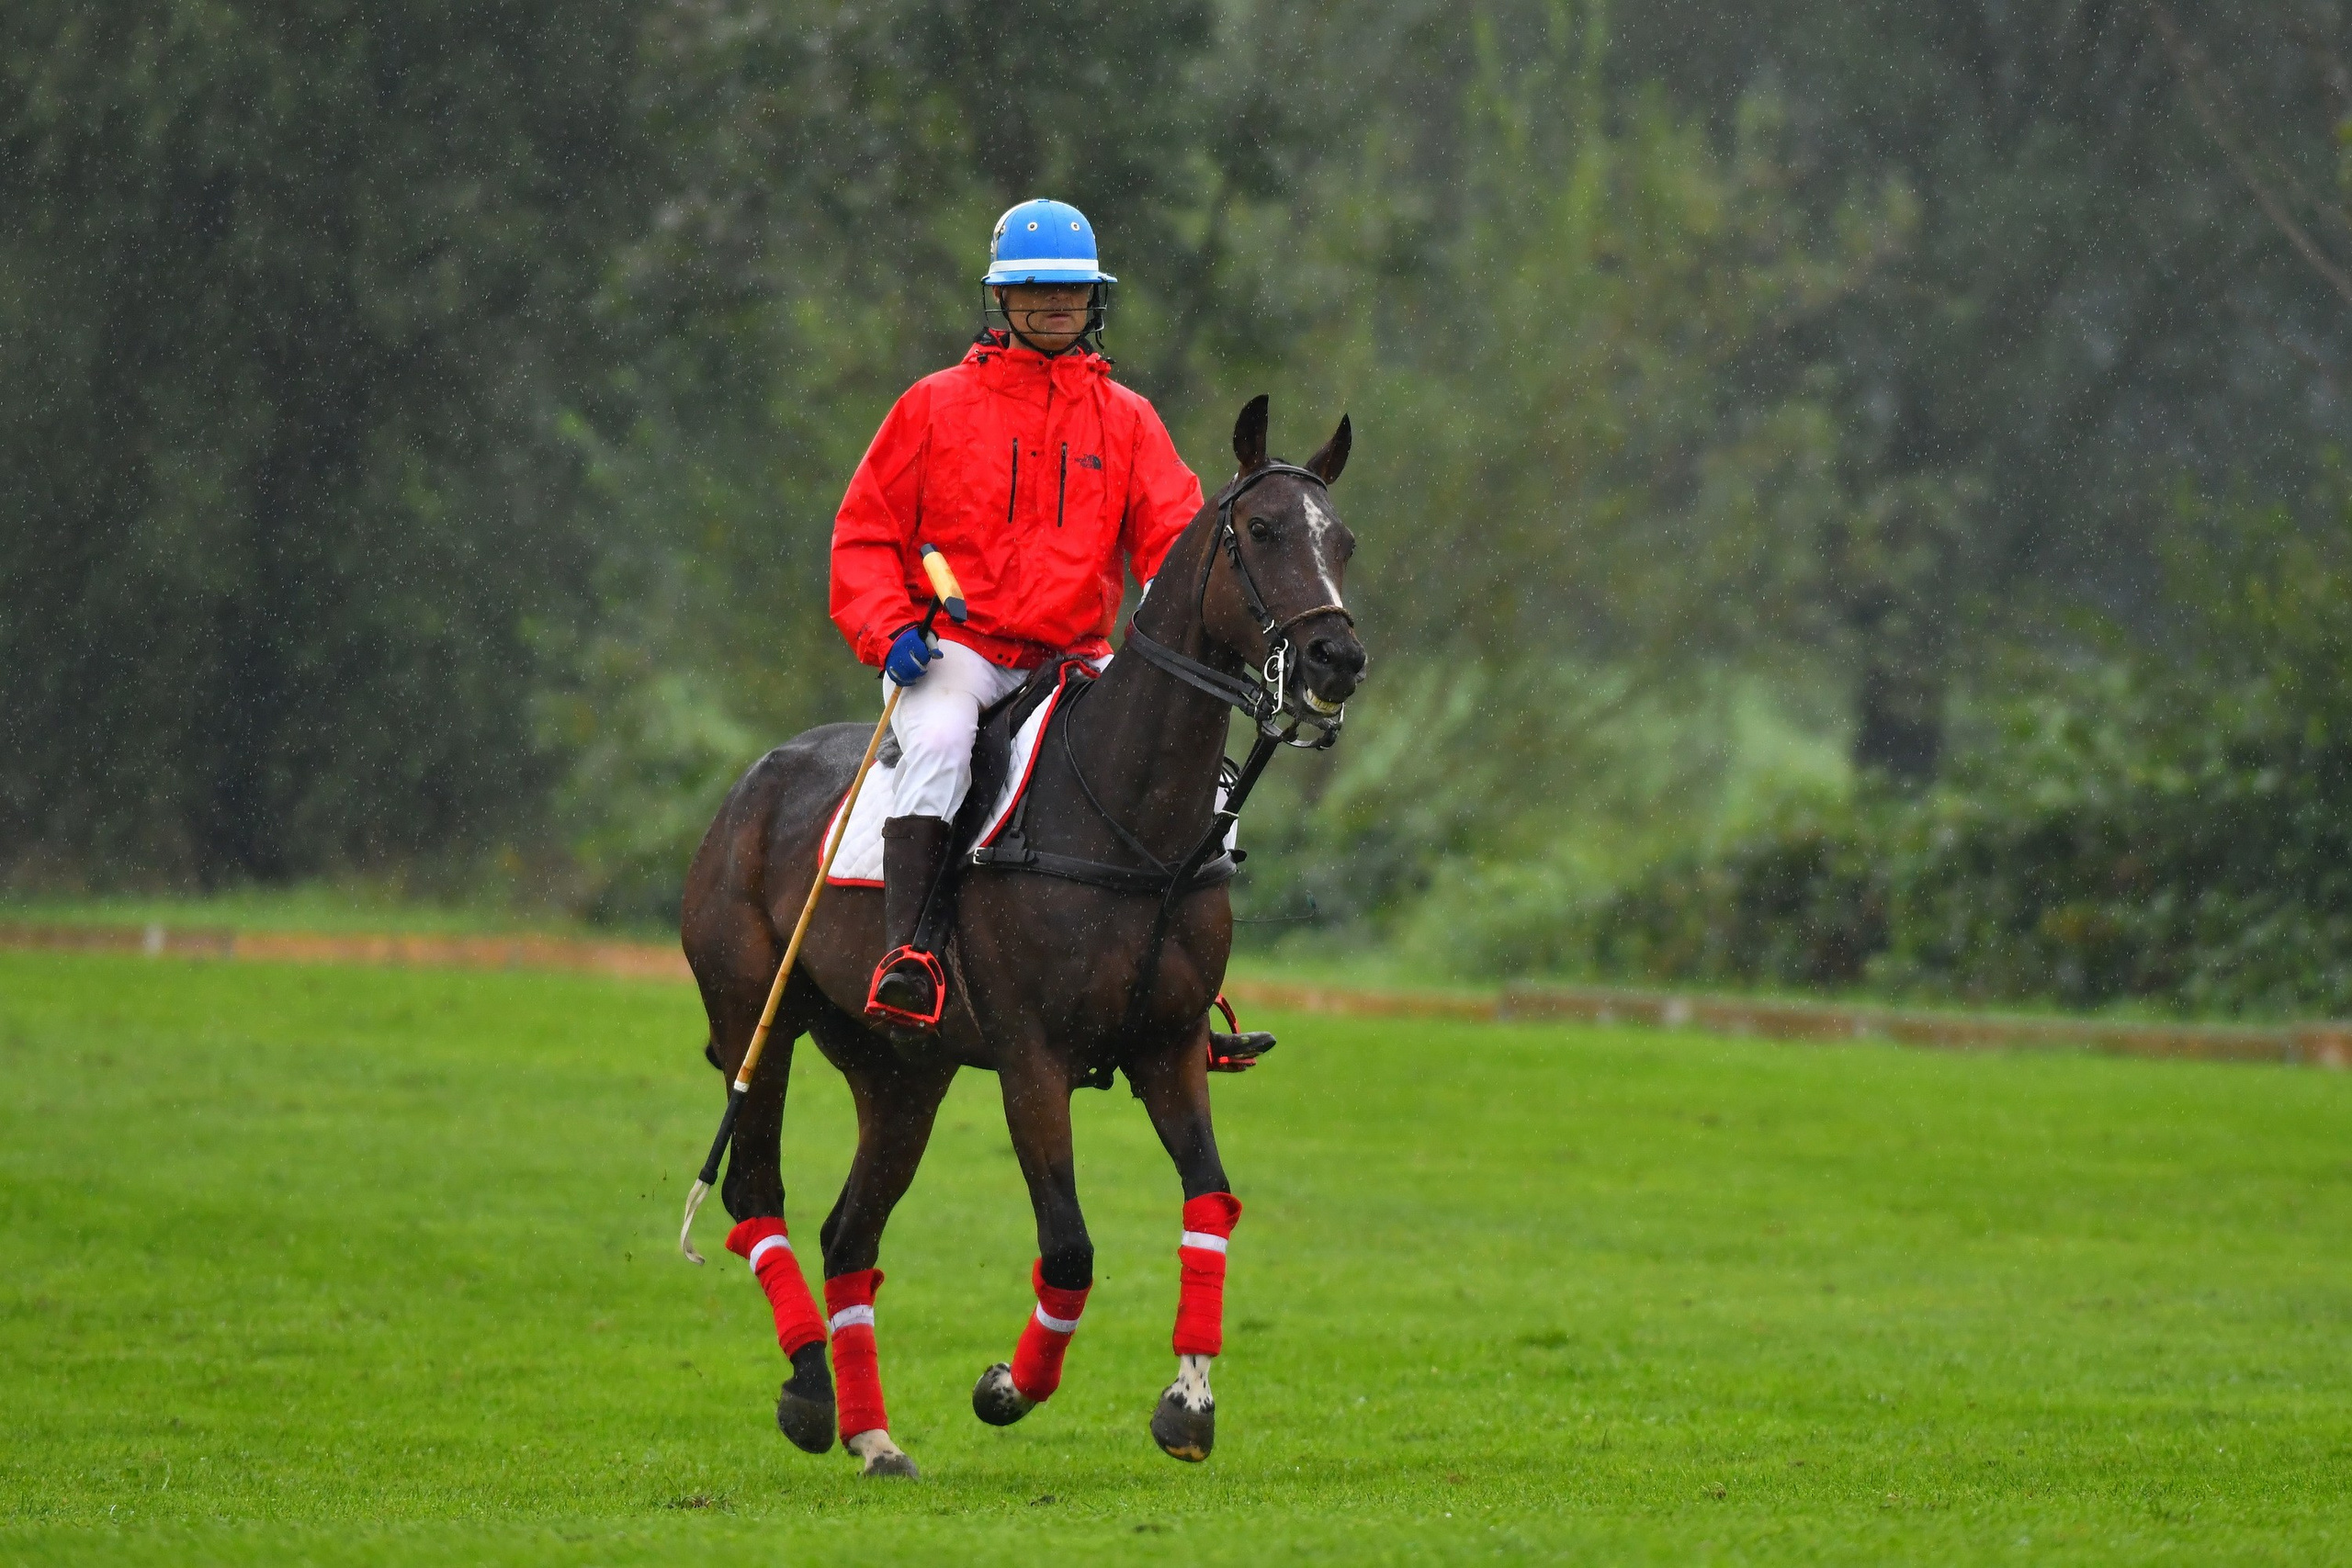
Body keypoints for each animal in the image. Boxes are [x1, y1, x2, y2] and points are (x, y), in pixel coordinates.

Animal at [679, 394, 1367, 1477]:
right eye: (1260, 531)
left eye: (1341, 540)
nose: (1338, 659)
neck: (1133, 823)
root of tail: (748, 786)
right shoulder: (1030, 1058)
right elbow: (1070, 1244)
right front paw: (1007, 1387)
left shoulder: (1170, 1047)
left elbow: (1209, 1202)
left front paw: (1187, 1403)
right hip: (759, 1017)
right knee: (755, 1192)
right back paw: (810, 1394)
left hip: (900, 1073)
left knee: (848, 1235)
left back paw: (875, 1435)